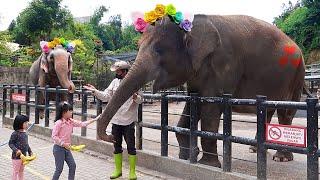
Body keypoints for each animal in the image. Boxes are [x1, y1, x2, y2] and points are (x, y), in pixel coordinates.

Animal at [97, 15, 304, 167]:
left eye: (159, 50)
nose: (110, 137)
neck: (193, 26)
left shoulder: (223, 64)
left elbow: (210, 107)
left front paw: (208, 165)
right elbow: (192, 103)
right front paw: (186, 156)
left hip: (297, 75)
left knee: (286, 112)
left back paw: (281, 157)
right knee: (268, 111)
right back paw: (256, 149)